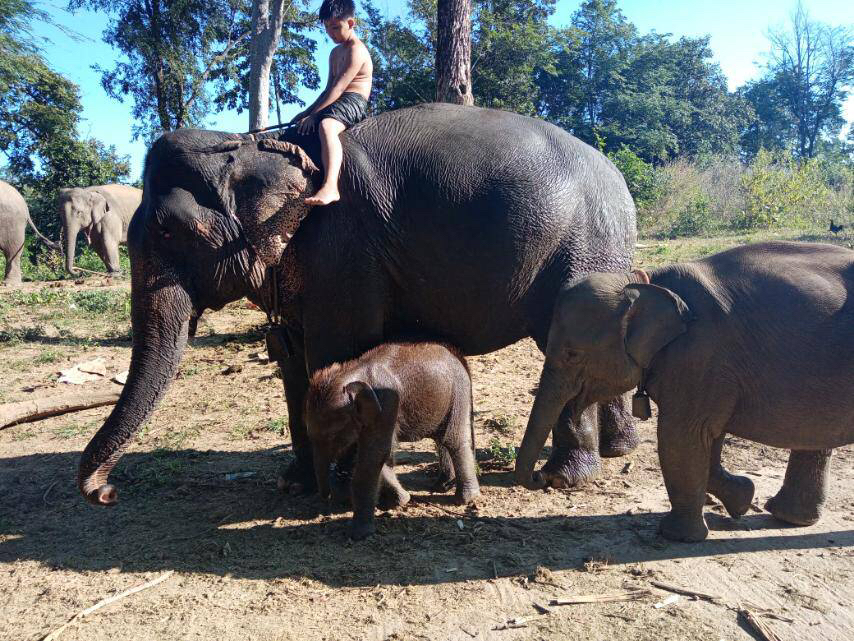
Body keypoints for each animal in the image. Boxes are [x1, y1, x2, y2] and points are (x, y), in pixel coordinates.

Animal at [308, 342, 482, 536]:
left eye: (332, 435)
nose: (327, 498)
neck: (352, 372)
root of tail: (458, 355)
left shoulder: (387, 403)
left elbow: (375, 454)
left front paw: (358, 533)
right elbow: (377, 454)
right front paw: (401, 500)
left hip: (458, 392)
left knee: (453, 440)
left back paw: (465, 498)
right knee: (441, 439)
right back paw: (441, 486)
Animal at [516, 240, 854, 540]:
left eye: (572, 354)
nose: (543, 477)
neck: (645, 282)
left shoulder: (699, 354)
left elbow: (681, 434)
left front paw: (676, 536)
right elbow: (709, 437)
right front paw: (742, 498)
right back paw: (790, 517)